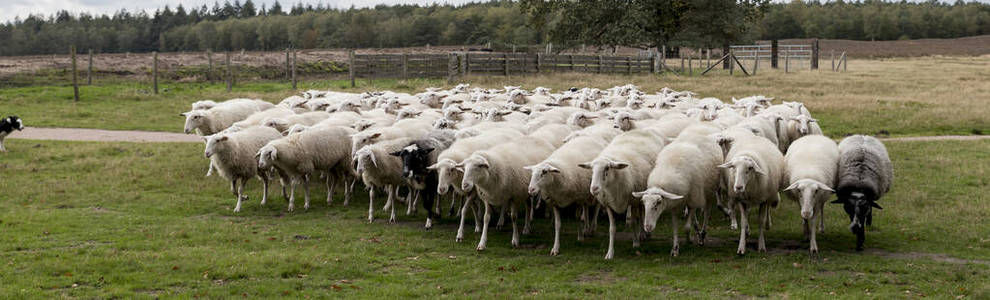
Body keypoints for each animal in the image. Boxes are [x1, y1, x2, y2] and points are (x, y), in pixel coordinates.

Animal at [576, 127, 672, 258]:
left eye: (607, 168)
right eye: (591, 169)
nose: (594, 188)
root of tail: (641, 129)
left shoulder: (633, 201)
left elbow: (633, 222)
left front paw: (636, 243)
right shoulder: (608, 205)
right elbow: (612, 228)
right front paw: (610, 253)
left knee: (642, 213)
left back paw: (643, 234)